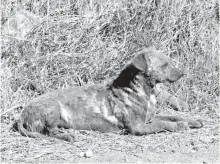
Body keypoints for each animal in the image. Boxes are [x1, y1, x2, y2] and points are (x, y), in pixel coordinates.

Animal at [16, 46, 203, 142]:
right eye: (164, 65)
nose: (183, 73)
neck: (143, 91)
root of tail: (21, 116)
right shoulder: (139, 127)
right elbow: (164, 124)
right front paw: (181, 126)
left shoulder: (149, 118)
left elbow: (172, 116)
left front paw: (192, 120)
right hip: (53, 107)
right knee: (50, 131)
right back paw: (68, 135)